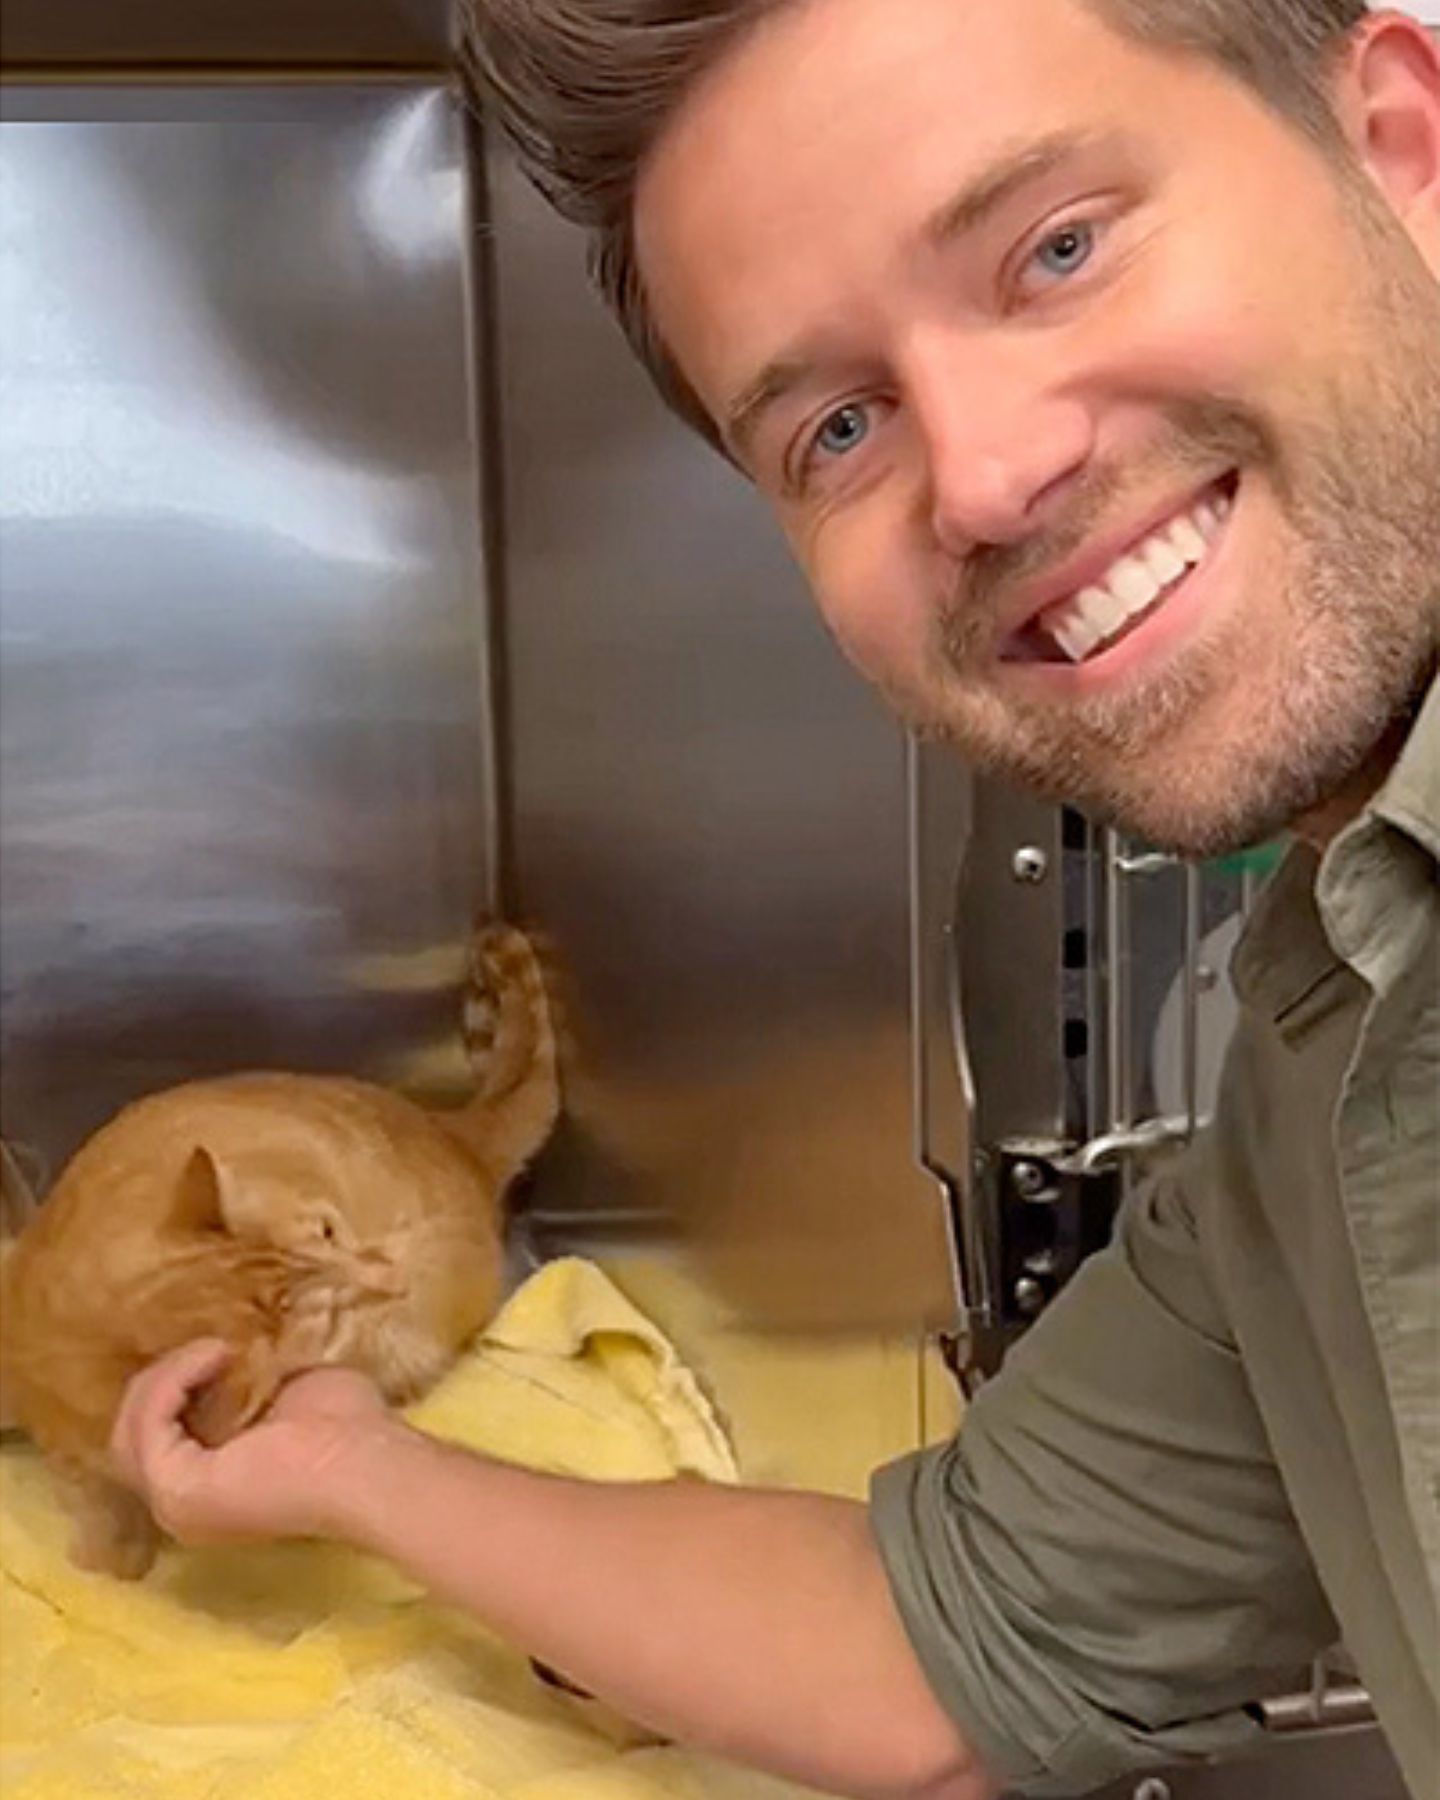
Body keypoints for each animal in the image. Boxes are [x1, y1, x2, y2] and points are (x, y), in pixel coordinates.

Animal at [0, 928, 558, 1576]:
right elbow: (86, 1487)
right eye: (335, 1318)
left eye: (330, 1231)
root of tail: (454, 1134)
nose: (392, 1277)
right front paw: (112, 1550)